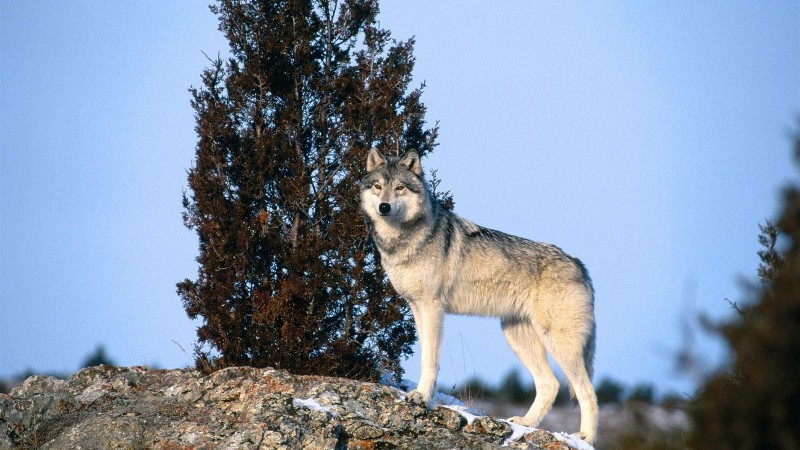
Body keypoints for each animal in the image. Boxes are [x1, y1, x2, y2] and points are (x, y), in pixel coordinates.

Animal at [360, 149, 596, 442]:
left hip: (558, 343)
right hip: (516, 336)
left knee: (587, 390)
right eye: (378, 186)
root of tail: (580, 265)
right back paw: (526, 423)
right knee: (549, 384)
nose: (384, 207)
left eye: (399, 188)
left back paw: (585, 437)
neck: (403, 240)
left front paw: (422, 397)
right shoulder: (416, 307)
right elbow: (425, 354)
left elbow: (430, 360)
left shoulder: (432, 308)